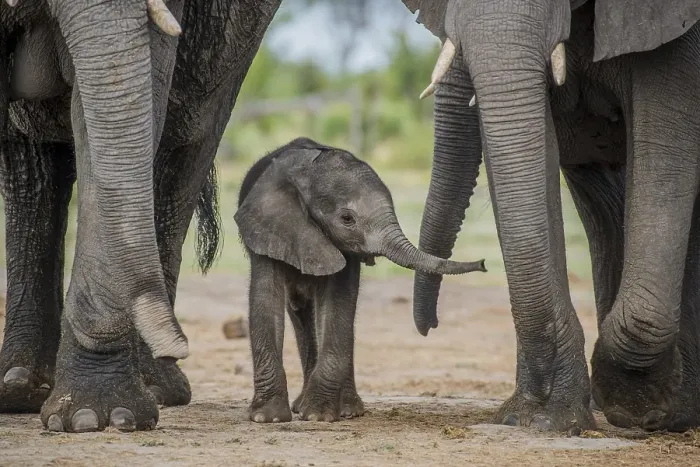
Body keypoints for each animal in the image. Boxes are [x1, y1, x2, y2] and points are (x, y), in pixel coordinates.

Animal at [0, 0, 281, 432]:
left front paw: (96, 417)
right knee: (29, 165)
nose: (179, 345)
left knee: (182, 144)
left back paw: (154, 387)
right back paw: (18, 388)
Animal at [234, 137, 486, 423]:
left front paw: (317, 416)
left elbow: (339, 305)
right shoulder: (267, 229)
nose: (483, 263)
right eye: (347, 219)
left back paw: (347, 410)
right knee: (299, 311)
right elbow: (266, 300)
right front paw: (268, 418)